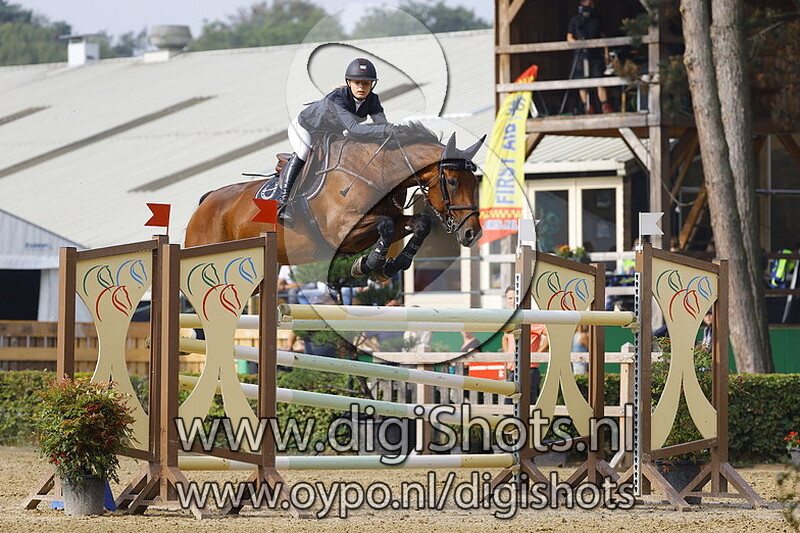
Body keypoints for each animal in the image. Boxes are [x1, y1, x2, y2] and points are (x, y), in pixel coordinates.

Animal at [184, 122, 484, 280]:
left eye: (475, 182)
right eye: (453, 182)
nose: (473, 233)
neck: (375, 173)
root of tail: (205, 202)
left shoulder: (393, 219)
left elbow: (419, 223)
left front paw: (393, 264)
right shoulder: (342, 231)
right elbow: (386, 226)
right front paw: (368, 263)